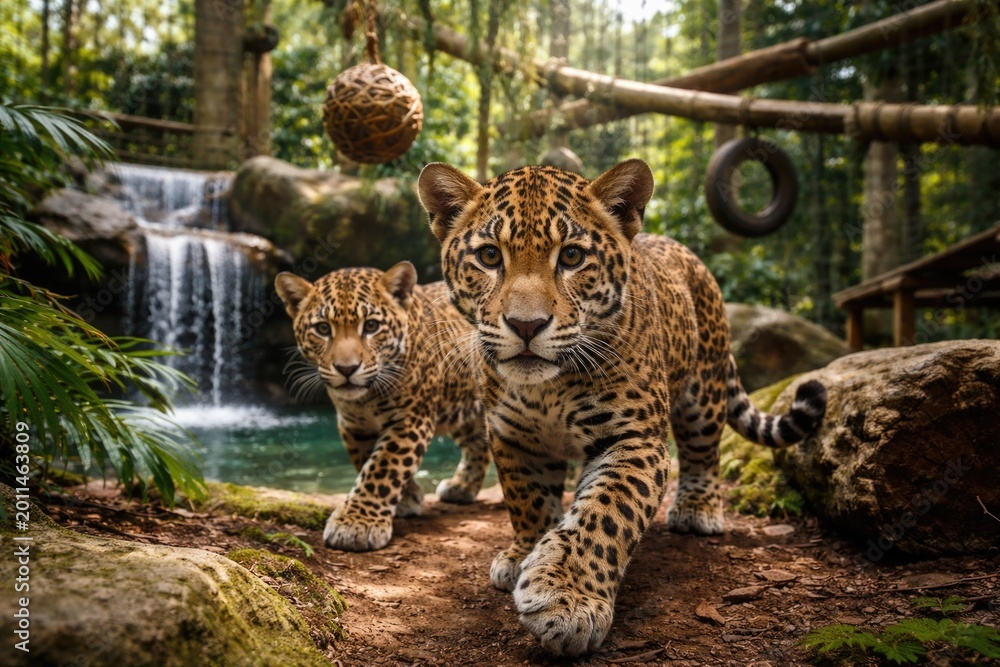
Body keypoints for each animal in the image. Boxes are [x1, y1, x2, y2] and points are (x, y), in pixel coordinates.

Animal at [275, 261, 490, 551]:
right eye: (322, 329)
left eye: (371, 326)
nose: (346, 369)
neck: (366, 399)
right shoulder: (353, 424)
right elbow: (366, 459)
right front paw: (406, 498)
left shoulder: (411, 419)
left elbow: (384, 467)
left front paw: (356, 524)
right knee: (479, 443)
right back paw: (462, 487)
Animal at [417, 159, 827, 655]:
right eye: (490, 257)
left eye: (572, 257)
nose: (526, 325)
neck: (546, 390)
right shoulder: (513, 437)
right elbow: (527, 501)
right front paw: (525, 552)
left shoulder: (633, 439)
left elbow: (605, 515)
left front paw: (567, 599)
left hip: (702, 392)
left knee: (703, 451)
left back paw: (698, 509)